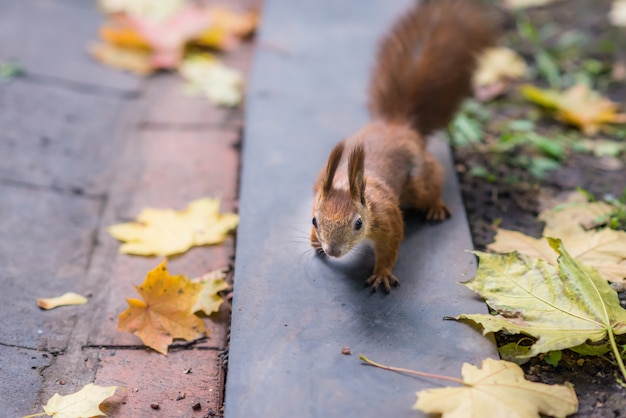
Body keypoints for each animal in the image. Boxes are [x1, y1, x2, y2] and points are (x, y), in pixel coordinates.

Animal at [308, 0, 498, 292]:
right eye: (315, 220)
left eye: (358, 223)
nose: (333, 251)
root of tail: (397, 125)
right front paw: (313, 241)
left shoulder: (388, 219)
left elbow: (390, 247)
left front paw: (382, 274)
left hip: (419, 183)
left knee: (432, 186)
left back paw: (436, 206)